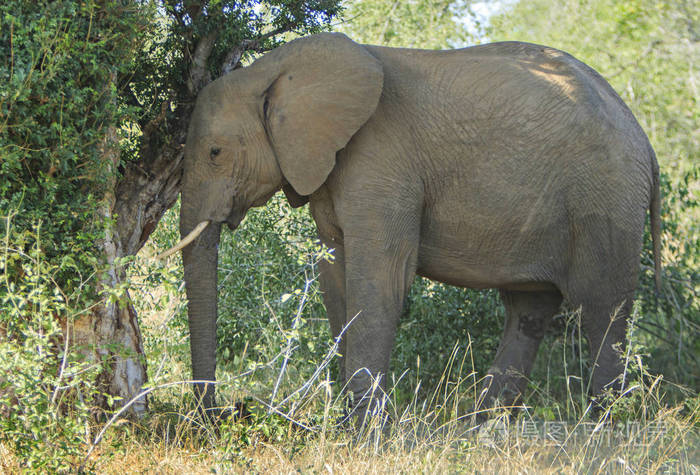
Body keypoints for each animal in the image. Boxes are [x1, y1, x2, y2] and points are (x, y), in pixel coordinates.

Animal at [163, 32, 660, 420]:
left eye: (215, 152)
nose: (220, 414)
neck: (272, 70)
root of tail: (645, 141)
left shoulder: (381, 160)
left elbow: (381, 279)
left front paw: (364, 437)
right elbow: (335, 277)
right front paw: (348, 425)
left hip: (605, 200)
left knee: (602, 311)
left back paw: (603, 434)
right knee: (529, 312)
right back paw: (479, 432)